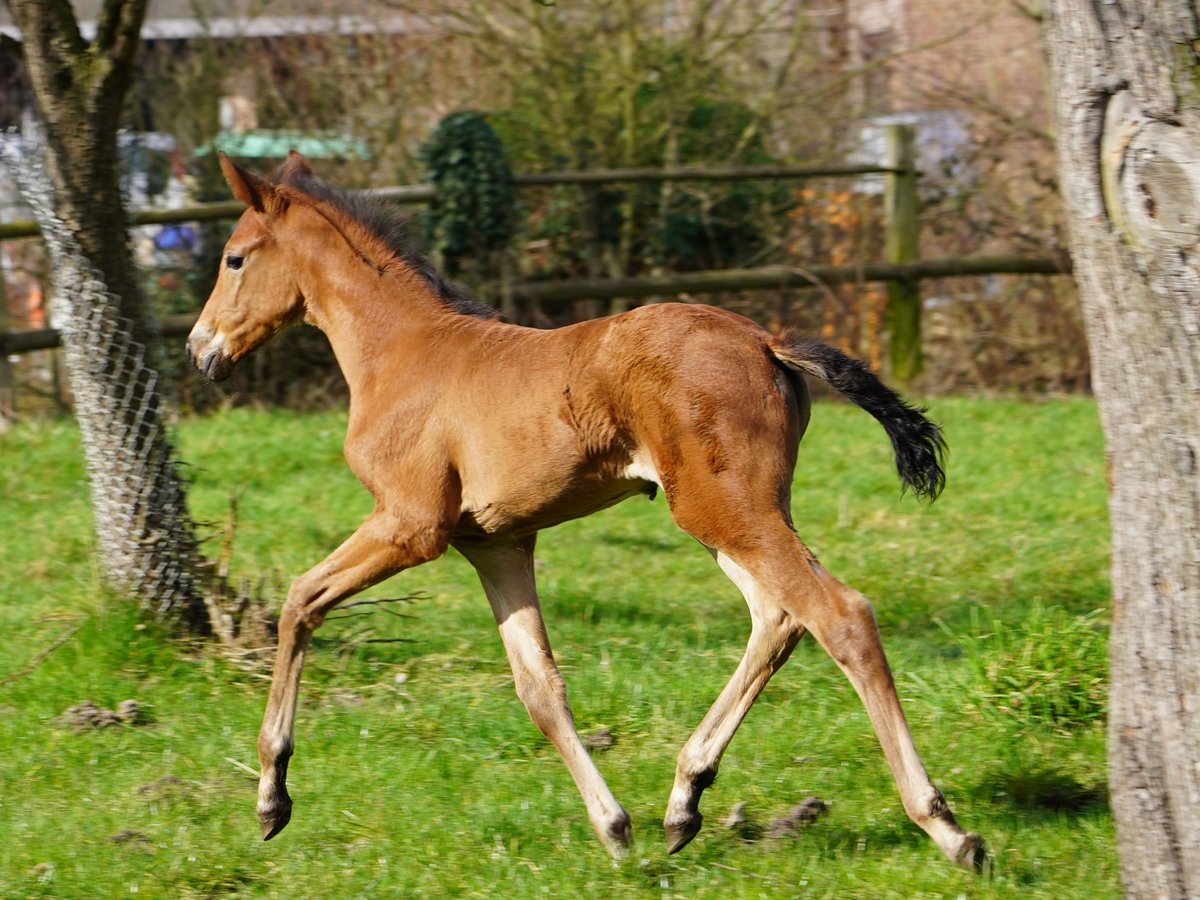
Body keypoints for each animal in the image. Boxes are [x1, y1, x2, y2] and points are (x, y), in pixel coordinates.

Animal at [184, 153, 984, 868]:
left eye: (233, 258)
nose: (199, 349)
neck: (403, 353)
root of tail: (767, 341)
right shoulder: (497, 544)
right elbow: (539, 687)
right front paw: (614, 827)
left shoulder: (411, 526)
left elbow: (299, 602)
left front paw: (271, 798)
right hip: (730, 514)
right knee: (779, 618)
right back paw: (684, 800)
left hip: (725, 511)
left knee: (839, 614)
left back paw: (946, 828)